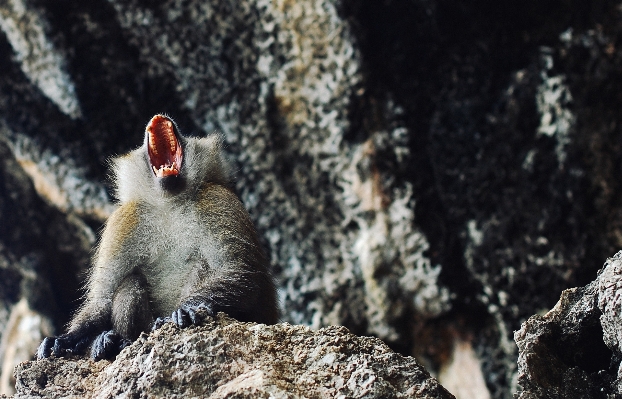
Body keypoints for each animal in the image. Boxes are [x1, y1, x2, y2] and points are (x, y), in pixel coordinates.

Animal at [35, 114, 276, 360]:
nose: (161, 116)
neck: (170, 203)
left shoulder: (217, 200)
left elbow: (241, 273)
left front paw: (187, 308)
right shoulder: (124, 219)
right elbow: (103, 298)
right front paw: (67, 339)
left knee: (203, 265)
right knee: (130, 282)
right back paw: (119, 341)